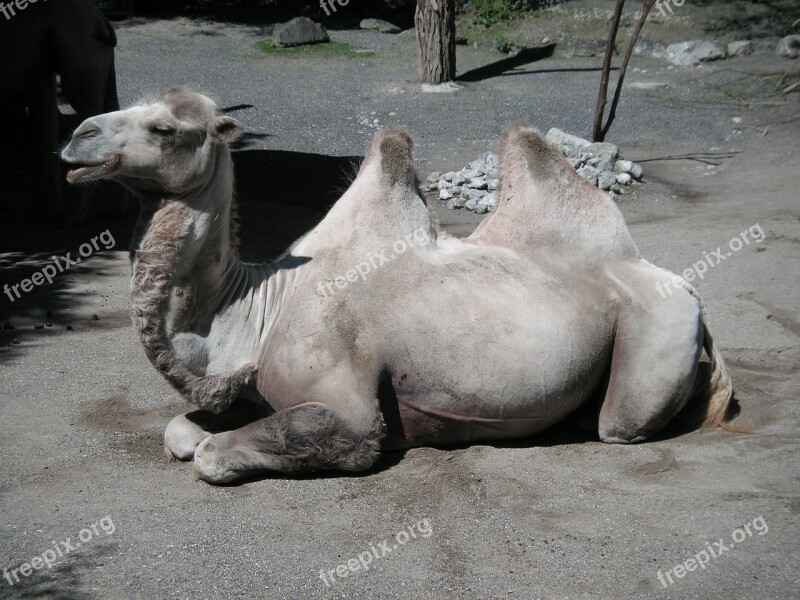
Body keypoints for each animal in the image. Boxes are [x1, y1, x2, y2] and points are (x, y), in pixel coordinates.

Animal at [62, 88, 736, 482]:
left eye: (167, 129)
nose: (77, 136)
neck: (261, 309)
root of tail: (683, 286)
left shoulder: (347, 410)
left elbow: (210, 455)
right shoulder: (248, 388)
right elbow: (180, 431)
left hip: (656, 329)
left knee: (621, 423)